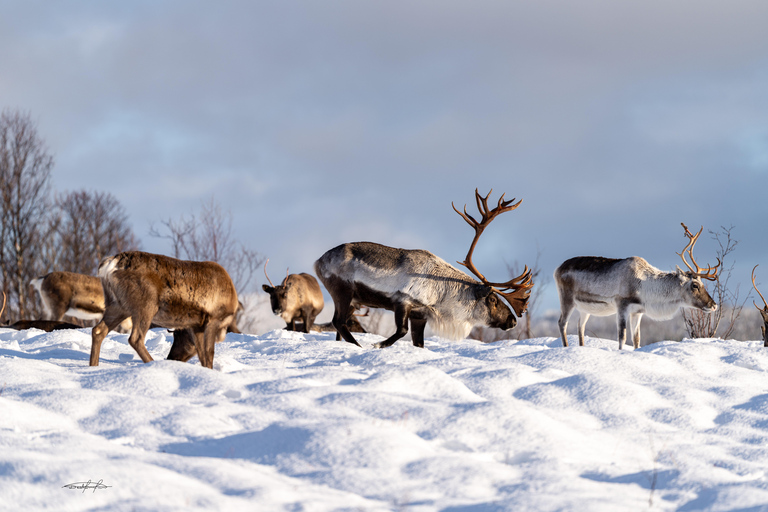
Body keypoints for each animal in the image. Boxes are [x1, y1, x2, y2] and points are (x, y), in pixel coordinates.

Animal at [90, 251, 239, 369]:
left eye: (178, 335)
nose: (172, 357)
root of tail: (110, 264)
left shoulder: (196, 325)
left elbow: (202, 354)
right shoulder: (213, 318)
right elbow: (209, 354)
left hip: (117, 305)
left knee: (98, 330)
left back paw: (93, 366)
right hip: (145, 305)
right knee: (135, 338)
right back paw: (153, 363)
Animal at [314, 189, 533, 349]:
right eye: (493, 300)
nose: (513, 321)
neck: (442, 293)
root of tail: (318, 261)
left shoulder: (420, 315)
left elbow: (418, 342)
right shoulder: (403, 301)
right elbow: (401, 331)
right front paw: (378, 345)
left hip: (354, 300)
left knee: (339, 325)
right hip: (342, 291)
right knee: (338, 321)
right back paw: (358, 346)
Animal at [555, 223, 720, 350]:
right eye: (695, 285)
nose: (713, 305)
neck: (645, 286)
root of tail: (557, 269)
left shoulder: (638, 311)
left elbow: (636, 339)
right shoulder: (622, 306)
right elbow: (622, 336)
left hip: (585, 308)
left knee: (580, 326)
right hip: (566, 299)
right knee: (562, 323)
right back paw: (566, 347)